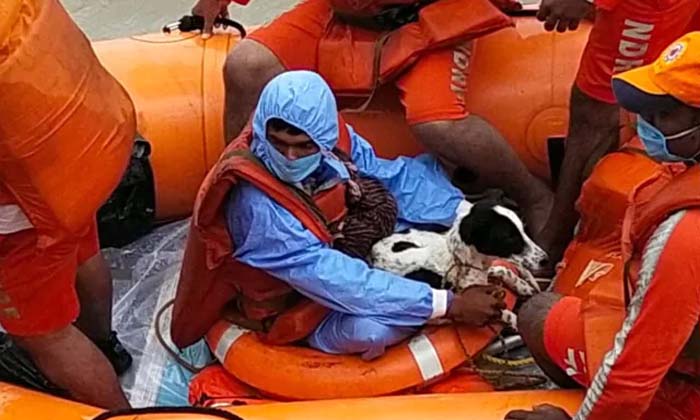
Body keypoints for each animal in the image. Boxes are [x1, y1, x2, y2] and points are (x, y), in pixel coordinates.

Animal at [372, 197, 548, 328]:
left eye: (523, 229)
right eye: (509, 238)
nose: (545, 260)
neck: (460, 259)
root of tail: (372, 254)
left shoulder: (482, 272)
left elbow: (503, 270)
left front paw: (522, 286)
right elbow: (507, 314)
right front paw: (520, 323)